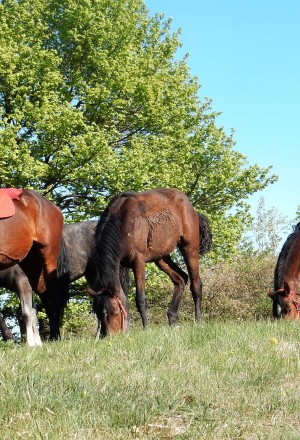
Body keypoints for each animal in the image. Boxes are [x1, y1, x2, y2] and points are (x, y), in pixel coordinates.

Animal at [92, 187, 212, 336]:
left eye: (114, 312)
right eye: (98, 313)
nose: (108, 335)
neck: (123, 221)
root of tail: (190, 206)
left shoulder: (138, 261)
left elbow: (140, 299)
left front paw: (145, 329)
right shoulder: (120, 265)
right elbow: (125, 298)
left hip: (190, 248)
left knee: (196, 285)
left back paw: (198, 321)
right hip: (161, 257)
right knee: (181, 279)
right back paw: (172, 319)